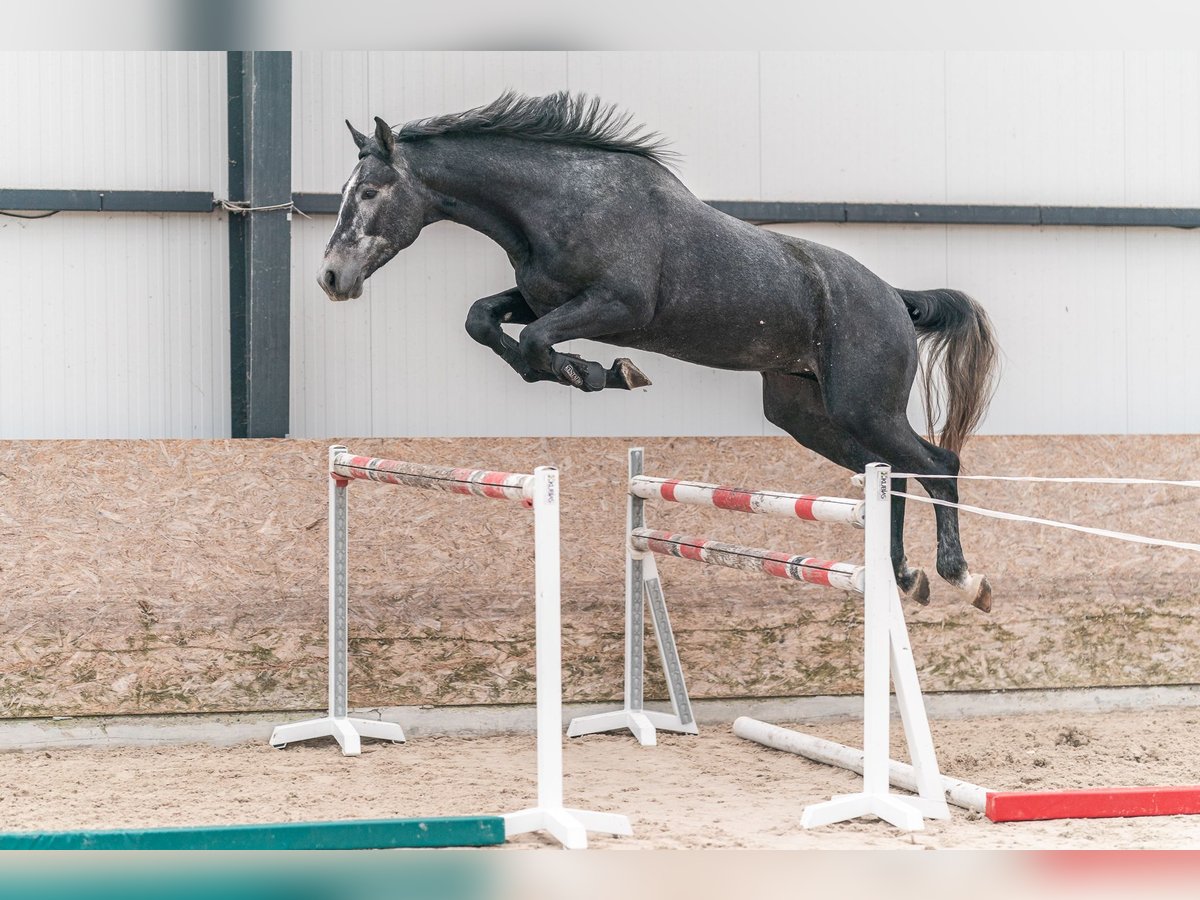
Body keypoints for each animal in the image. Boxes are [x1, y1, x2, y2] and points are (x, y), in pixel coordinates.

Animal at [321, 91, 1003, 614]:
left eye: (373, 192)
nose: (332, 278)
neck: (560, 201)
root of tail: (894, 297)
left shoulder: (618, 306)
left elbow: (537, 341)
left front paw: (602, 372)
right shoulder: (543, 299)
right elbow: (484, 321)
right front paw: (593, 372)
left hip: (864, 408)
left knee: (937, 463)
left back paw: (963, 578)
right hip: (807, 414)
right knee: (890, 475)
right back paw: (902, 576)